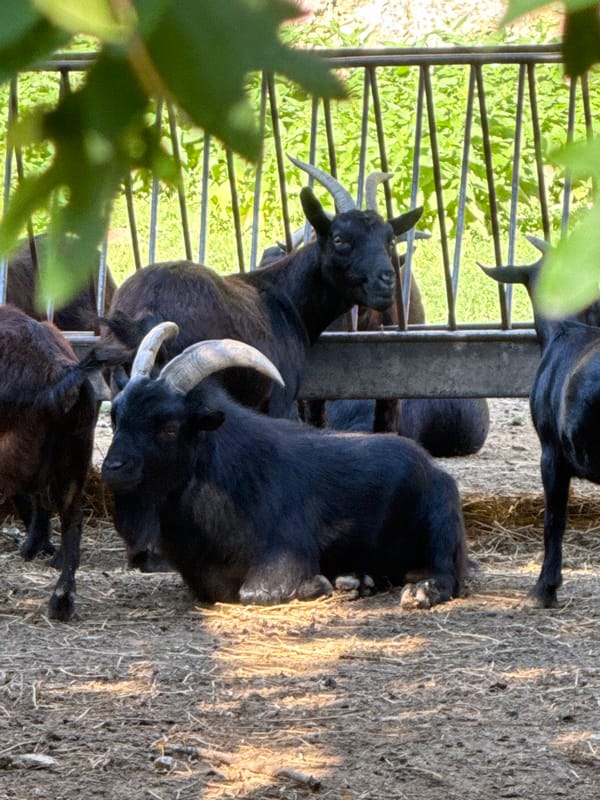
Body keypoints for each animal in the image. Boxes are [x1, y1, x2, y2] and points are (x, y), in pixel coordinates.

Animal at [101, 322, 467, 608]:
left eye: (169, 427)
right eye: (116, 417)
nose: (113, 468)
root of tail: (435, 470)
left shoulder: (286, 553)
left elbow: (256, 592)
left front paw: (320, 584)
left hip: (440, 524)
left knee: (448, 574)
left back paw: (419, 592)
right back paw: (356, 581)